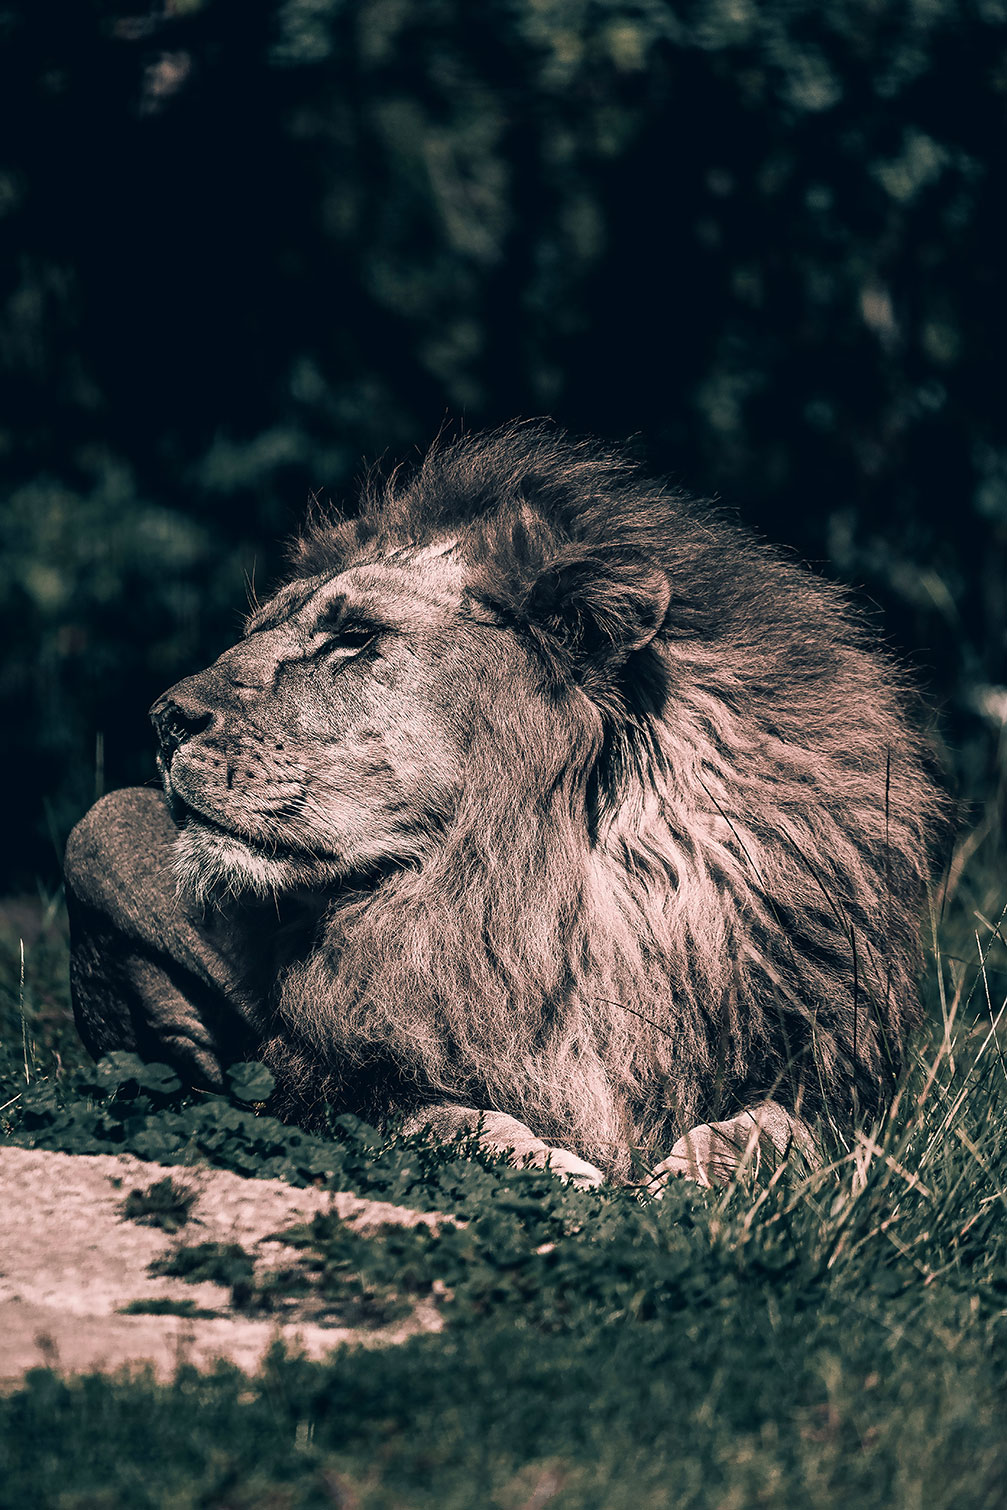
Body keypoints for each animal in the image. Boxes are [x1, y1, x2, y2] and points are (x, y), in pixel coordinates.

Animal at [64, 425, 944, 1190]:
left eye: (353, 637)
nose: (163, 719)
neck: (538, 898)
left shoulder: (833, 1068)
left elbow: (783, 1130)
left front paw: (698, 1177)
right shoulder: (324, 1077)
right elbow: (438, 1118)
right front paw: (553, 1168)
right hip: (95, 830)